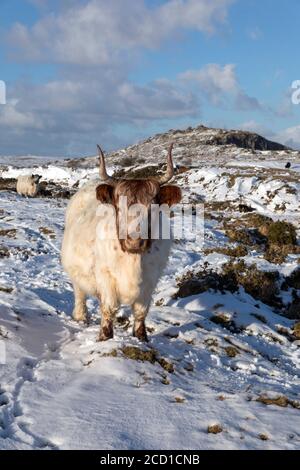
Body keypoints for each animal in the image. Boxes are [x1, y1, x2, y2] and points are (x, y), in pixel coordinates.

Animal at [61, 145, 180, 340]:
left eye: (153, 206)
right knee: (80, 293)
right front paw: (104, 337)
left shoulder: (151, 280)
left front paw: (141, 337)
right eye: (118, 205)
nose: (134, 242)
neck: (133, 260)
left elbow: (140, 312)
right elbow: (109, 308)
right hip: (76, 272)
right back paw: (80, 316)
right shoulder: (105, 276)